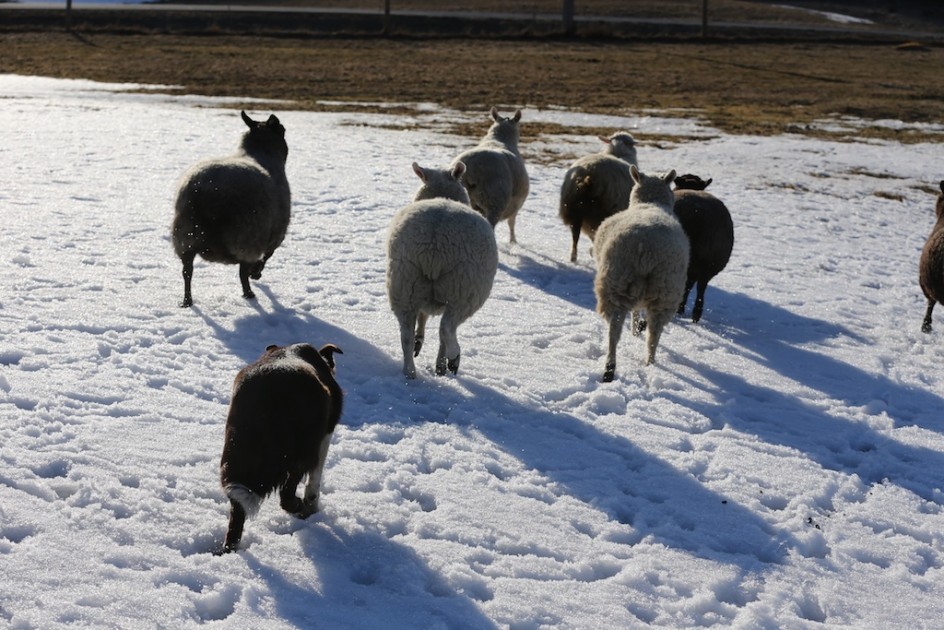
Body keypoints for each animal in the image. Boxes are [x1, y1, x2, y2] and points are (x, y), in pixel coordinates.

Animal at [172, 111, 292, 308]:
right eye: (281, 129)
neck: (262, 154)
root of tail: (205, 191)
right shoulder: (275, 232)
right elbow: (266, 256)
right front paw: (256, 273)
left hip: (186, 237)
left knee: (187, 272)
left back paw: (187, 301)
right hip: (246, 236)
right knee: (242, 272)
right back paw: (249, 293)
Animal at [386, 163, 502, 380]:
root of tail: (434, 243)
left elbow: (422, 318)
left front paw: (420, 341)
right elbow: (441, 335)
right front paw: (441, 366)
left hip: (405, 284)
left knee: (405, 334)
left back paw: (409, 372)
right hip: (463, 289)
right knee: (446, 328)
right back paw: (454, 358)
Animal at [452, 106, 528, 244]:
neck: (499, 139)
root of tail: (471, 169)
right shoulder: (516, 205)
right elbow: (512, 223)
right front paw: (513, 242)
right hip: (495, 201)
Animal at [592, 165, 688, 382]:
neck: (649, 203)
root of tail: (647, 249)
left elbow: (635, 312)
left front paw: (635, 329)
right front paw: (636, 330)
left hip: (618, 282)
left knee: (615, 329)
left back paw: (611, 367)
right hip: (664, 289)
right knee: (653, 333)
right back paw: (648, 363)